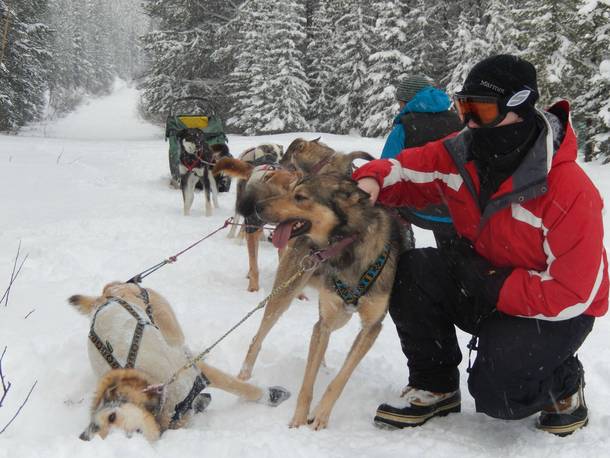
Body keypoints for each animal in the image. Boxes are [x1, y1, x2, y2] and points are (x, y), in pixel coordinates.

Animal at [69, 280, 290, 442]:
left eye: (111, 419)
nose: (83, 437)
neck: (161, 387)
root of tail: (107, 294)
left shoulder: (196, 371)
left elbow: (242, 387)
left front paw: (272, 396)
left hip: (169, 326)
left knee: (184, 346)